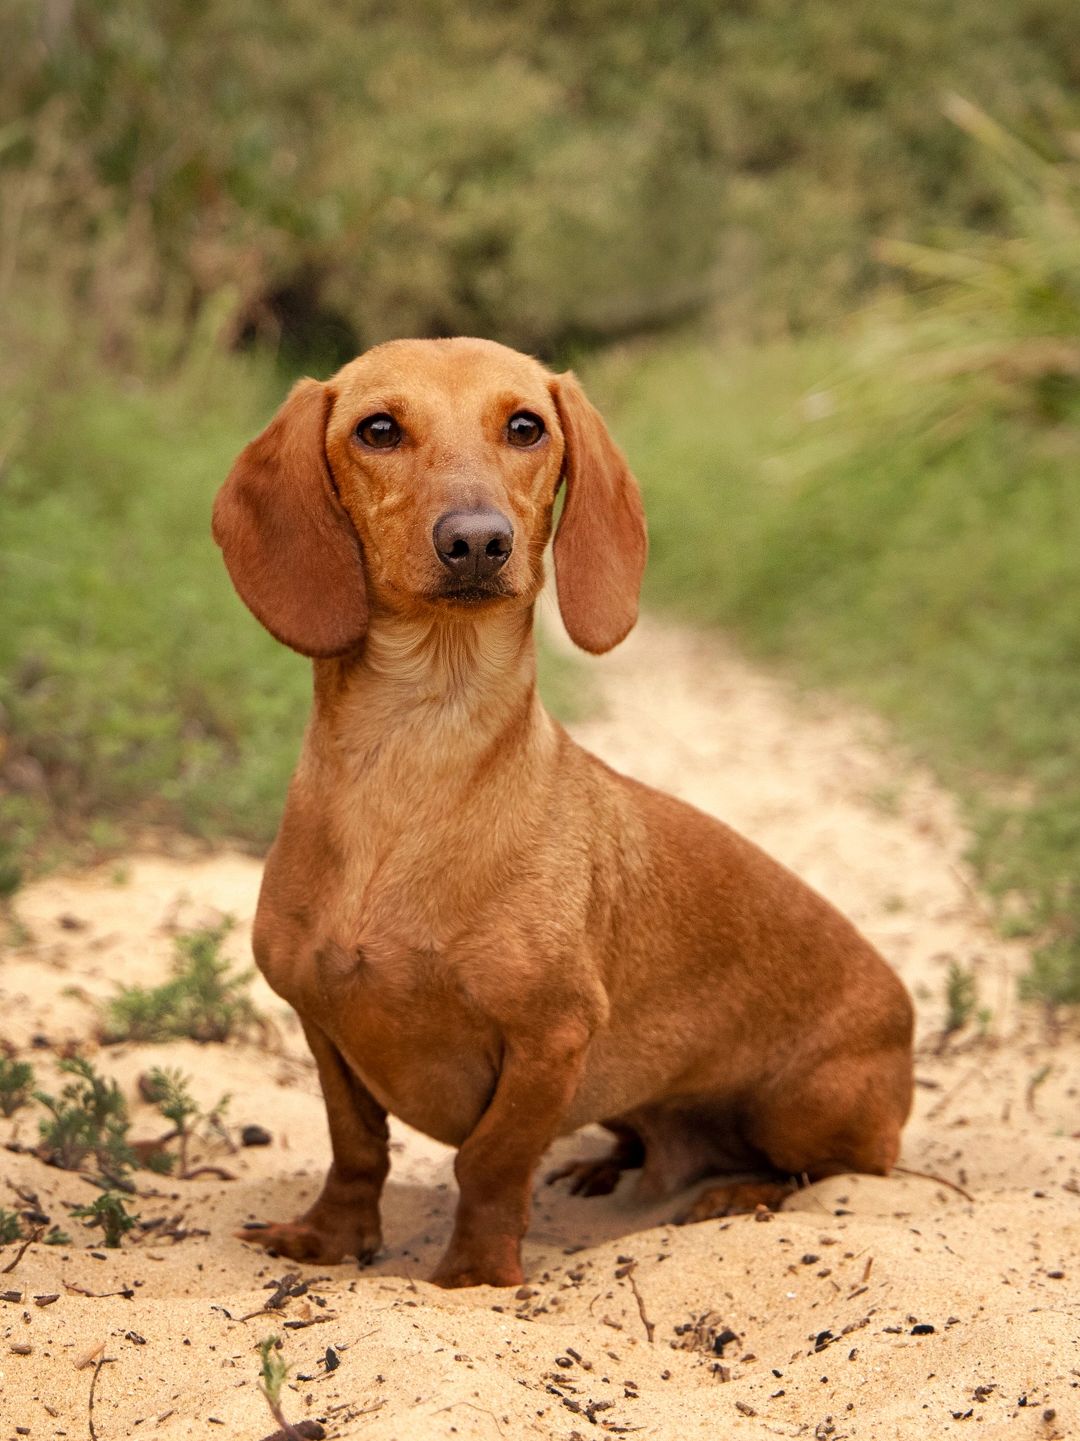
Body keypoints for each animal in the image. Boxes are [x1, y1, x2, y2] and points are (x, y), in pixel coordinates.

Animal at [213, 336, 914, 1289]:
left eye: (524, 426)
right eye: (379, 428)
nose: (477, 540)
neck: (417, 759)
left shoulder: (551, 1038)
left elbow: (490, 1161)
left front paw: (473, 1275)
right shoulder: (322, 1022)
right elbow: (355, 1146)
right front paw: (330, 1236)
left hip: (806, 1107)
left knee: (836, 1167)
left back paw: (739, 1194)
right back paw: (609, 1166)